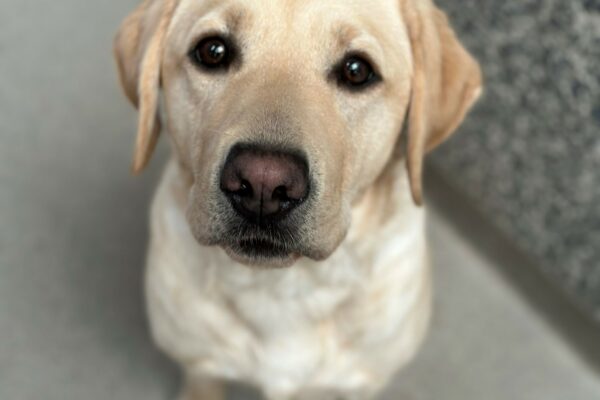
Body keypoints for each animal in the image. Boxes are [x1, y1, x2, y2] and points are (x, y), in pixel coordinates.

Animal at [113, 1, 482, 398]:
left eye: (356, 71)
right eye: (213, 51)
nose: (263, 183)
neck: (283, 289)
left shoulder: (361, 383)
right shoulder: (200, 367)